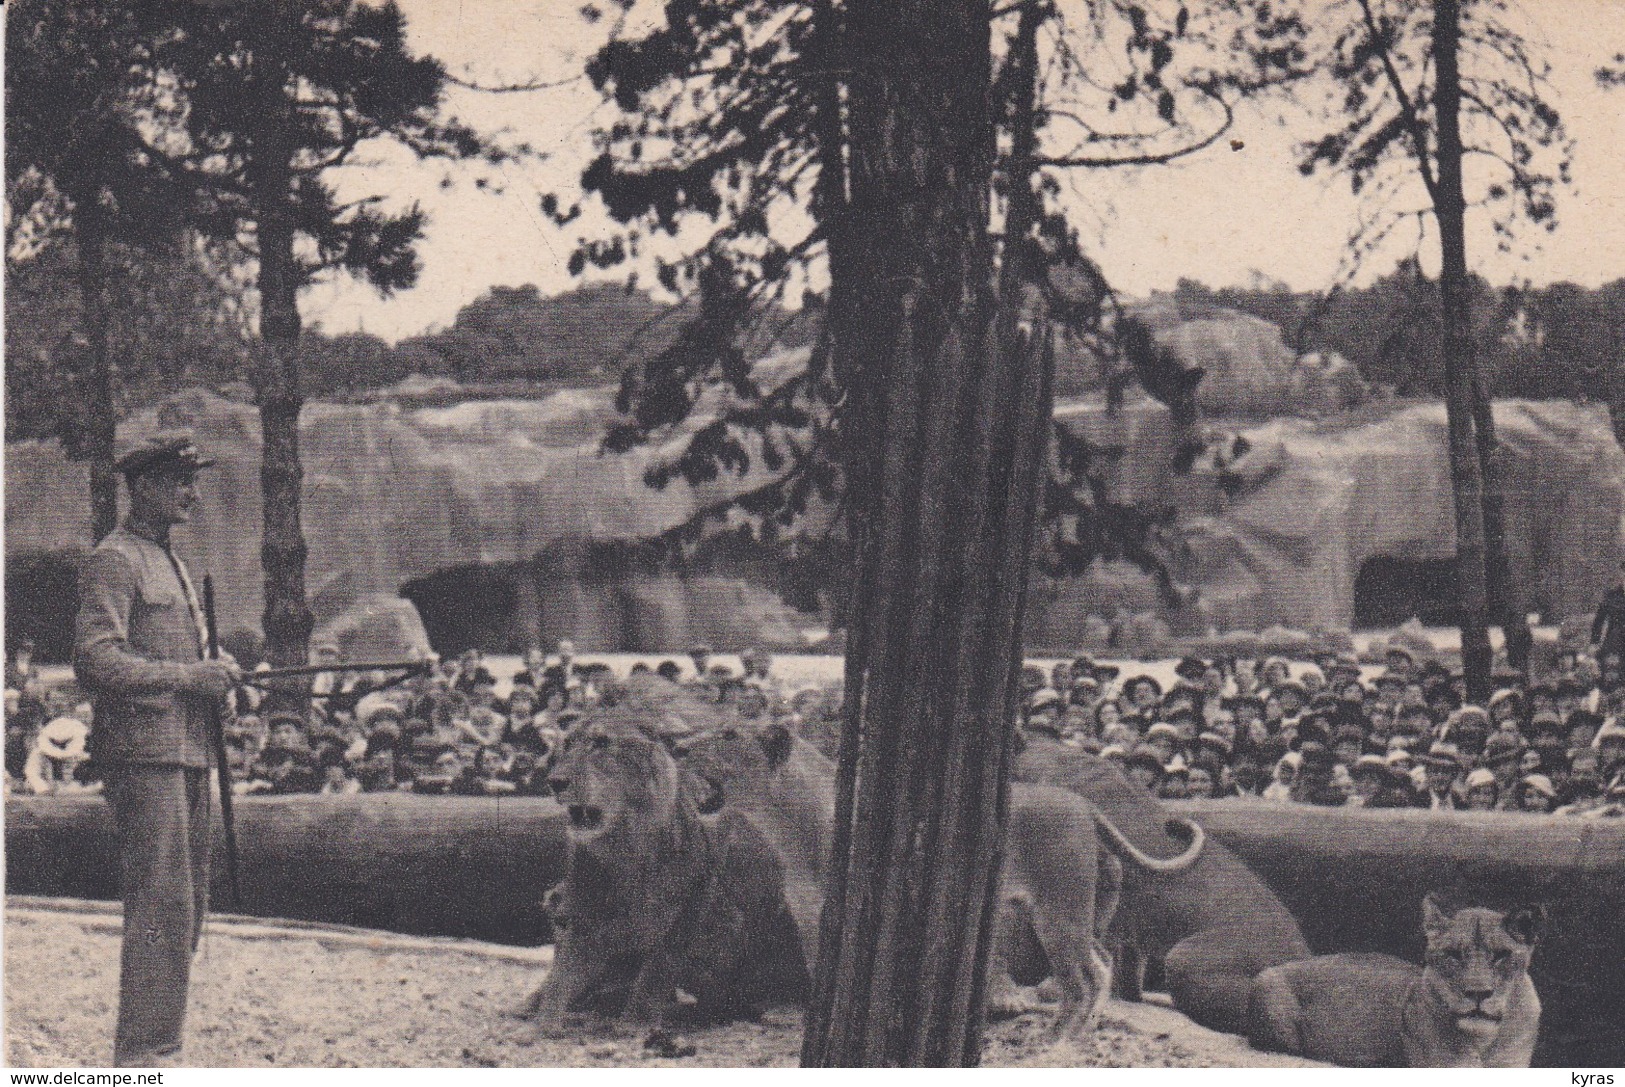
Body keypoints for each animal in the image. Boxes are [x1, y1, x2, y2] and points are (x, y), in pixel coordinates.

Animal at [520, 682, 806, 1033]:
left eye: (602, 743)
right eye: (568, 744)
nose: (555, 781)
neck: (629, 844)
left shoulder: (697, 901)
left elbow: (659, 968)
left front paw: (633, 1023)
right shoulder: (586, 899)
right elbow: (563, 973)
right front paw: (541, 1020)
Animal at [672, 714, 1209, 1039]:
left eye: (728, 736)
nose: (674, 744)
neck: (790, 827)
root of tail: (1085, 805)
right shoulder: (810, 920)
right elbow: (818, 975)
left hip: (1059, 913)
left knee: (1086, 976)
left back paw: (1058, 1045)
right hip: (1077, 912)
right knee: (1101, 961)